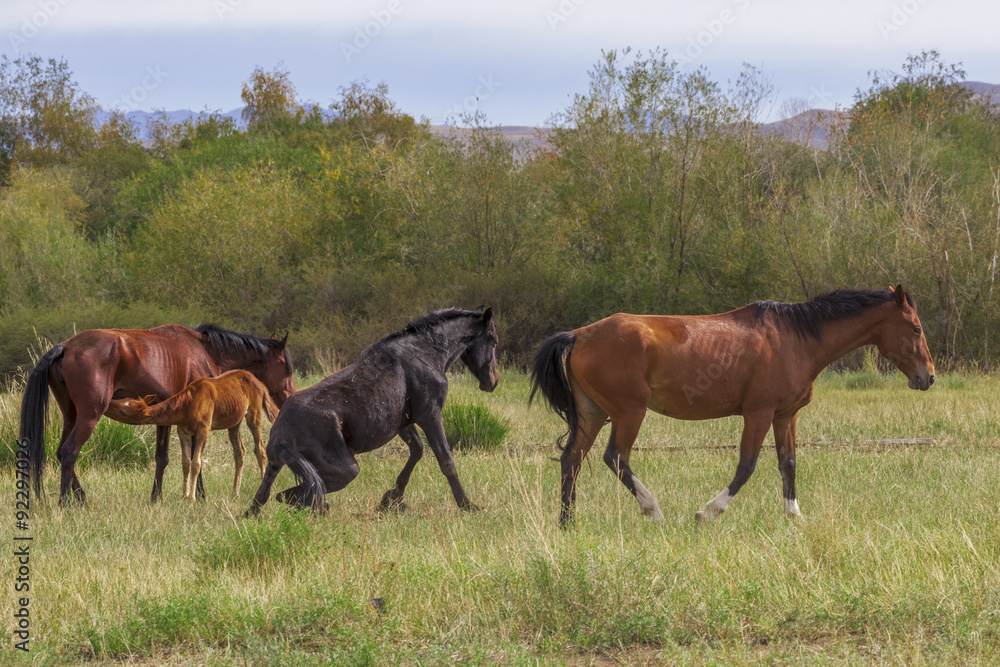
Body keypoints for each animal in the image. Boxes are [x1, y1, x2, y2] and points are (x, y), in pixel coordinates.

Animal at [105, 370, 280, 501]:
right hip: (234, 422)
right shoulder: (183, 432)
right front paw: (184, 495)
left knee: (260, 450)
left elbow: (196, 463)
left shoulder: (203, 430)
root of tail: (260, 383)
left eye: (123, 411)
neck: (188, 404)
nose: (108, 403)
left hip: (254, 416)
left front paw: (192, 499)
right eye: (125, 400)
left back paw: (261, 492)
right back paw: (235, 493)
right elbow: (185, 463)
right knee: (240, 452)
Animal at [246, 307, 499, 516]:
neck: (424, 352)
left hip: (276, 466)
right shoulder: (430, 415)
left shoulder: (403, 423)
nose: (493, 382)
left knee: (265, 496)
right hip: (347, 470)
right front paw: (467, 505)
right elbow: (446, 461)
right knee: (294, 494)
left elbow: (417, 450)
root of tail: (282, 436)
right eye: (494, 341)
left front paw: (392, 498)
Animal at [529, 286, 935, 528]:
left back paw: (568, 523)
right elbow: (747, 466)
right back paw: (653, 509)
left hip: (593, 413)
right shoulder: (758, 413)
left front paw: (794, 515)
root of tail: (579, 335)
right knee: (615, 457)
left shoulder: (786, 415)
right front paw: (709, 511)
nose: (928, 376)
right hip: (629, 413)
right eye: (915, 329)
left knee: (572, 460)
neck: (796, 339)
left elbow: (788, 463)